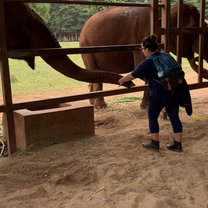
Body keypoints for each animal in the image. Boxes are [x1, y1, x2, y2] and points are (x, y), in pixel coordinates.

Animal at [79, 3, 208, 109]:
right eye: (193, 28)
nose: (196, 57)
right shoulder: (140, 39)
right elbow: (141, 68)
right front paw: (147, 106)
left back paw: (92, 103)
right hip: (86, 47)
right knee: (93, 69)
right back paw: (100, 106)